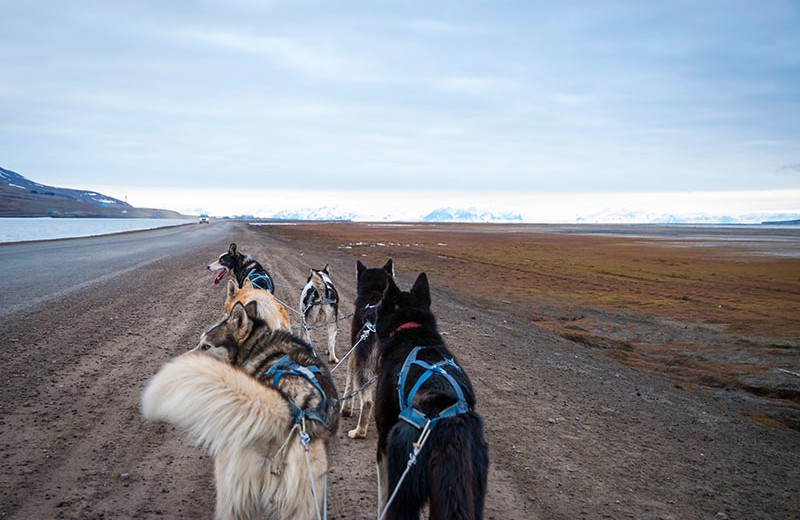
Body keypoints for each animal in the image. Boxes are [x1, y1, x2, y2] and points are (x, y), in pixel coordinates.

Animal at [342, 260, 396, 438]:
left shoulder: (354, 355)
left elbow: (349, 385)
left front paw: (345, 409)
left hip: (364, 370)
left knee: (367, 402)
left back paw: (358, 432)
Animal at [374, 272, 488, 520]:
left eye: (379, 306)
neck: (412, 331)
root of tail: (449, 423)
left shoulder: (384, 438)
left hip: (403, 486)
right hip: (470, 492)